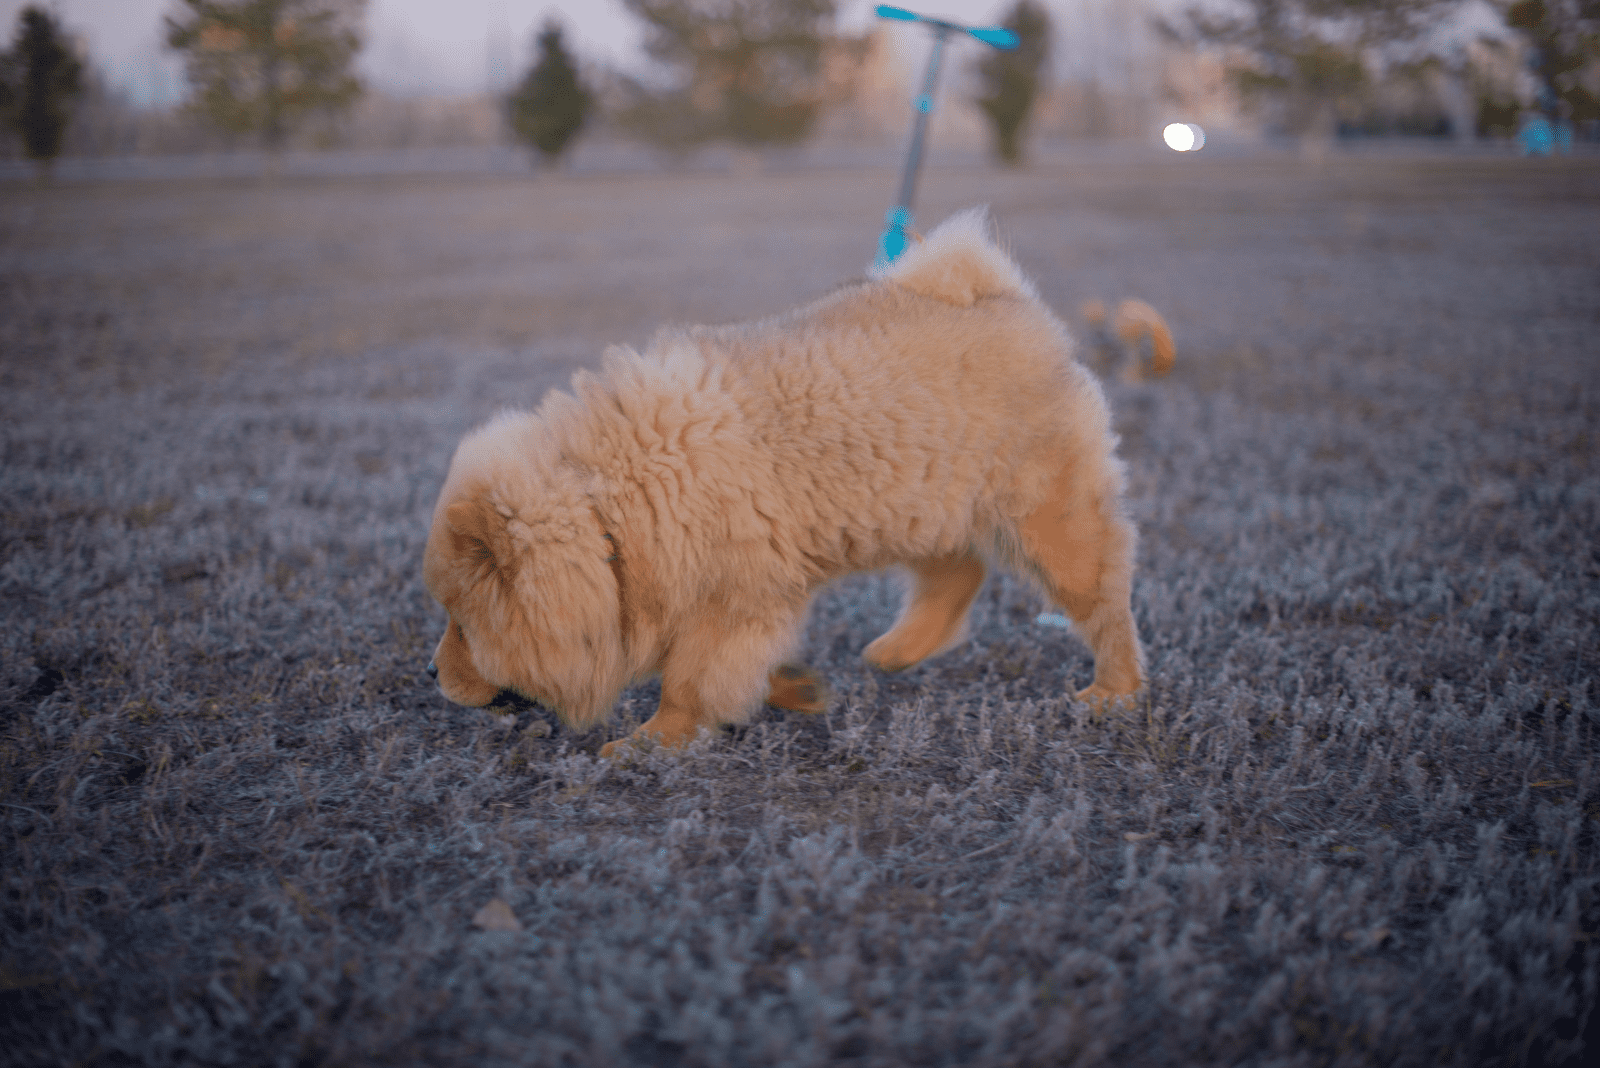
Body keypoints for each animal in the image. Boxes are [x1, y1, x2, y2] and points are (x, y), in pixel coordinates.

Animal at [425, 212, 1145, 754]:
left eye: (462, 624)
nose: (431, 670)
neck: (609, 507)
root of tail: (1006, 300)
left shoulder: (733, 599)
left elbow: (688, 682)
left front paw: (648, 742)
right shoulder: (743, 594)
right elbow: (734, 669)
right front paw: (793, 688)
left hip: (1047, 520)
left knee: (1105, 603)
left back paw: (1115, 693)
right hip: (916, 503)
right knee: (957, 573)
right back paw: (897, 652)